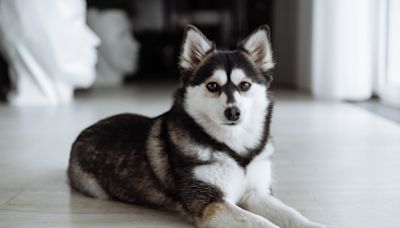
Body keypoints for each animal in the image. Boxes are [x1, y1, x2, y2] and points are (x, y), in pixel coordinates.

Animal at [68, 24, 324, 227]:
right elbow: (260, 222)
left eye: (244, 85)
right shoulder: (211, 203)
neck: (234, 148)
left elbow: (292, 214)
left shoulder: (257, 193)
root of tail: (87, 129)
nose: (233, 111)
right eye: (212, 86)